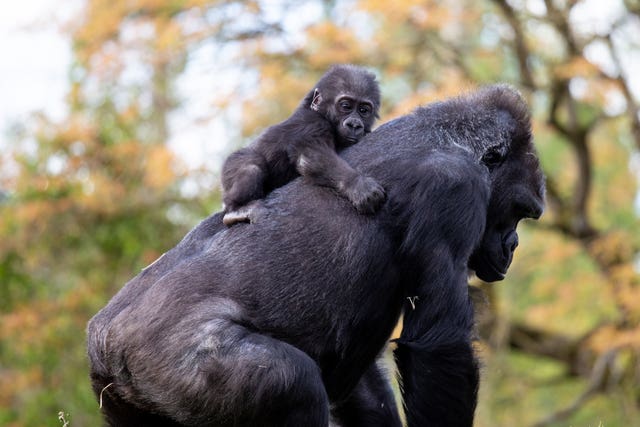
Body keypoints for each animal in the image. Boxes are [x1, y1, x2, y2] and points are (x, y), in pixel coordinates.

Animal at [86, 84, 544, 427]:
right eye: (522, 211)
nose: (513, 246)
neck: (455, 141)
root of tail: (105, 344)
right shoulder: (455, 191)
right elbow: (438, 344)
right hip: (173, 365)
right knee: (296, 384)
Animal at [220, 63, 384, 226]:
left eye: (363, 110)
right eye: (345, 106)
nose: (354, 124)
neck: (321, 112)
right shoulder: (312, 123)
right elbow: (312, 156)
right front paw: (357, 185)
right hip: (230, 165)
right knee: (251, 166)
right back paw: (237, 209)